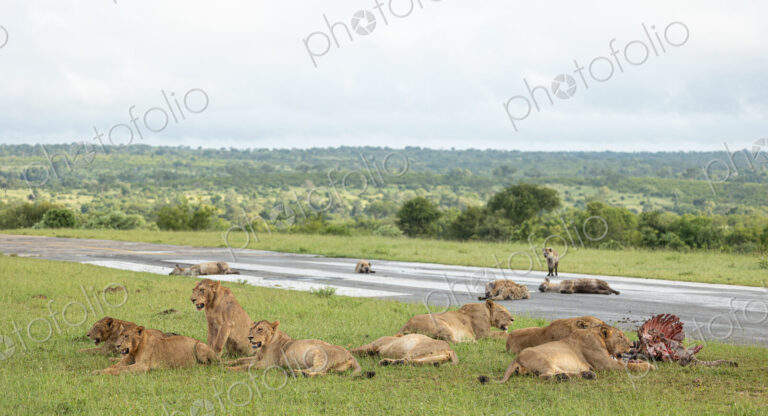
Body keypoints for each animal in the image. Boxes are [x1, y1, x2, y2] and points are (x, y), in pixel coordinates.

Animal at [227, 320, 372, 377]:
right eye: (251, 329)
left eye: (260, 329)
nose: (249, 337)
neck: (263, 346)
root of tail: (350, 355)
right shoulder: (256, 358)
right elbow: (240, 360)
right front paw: (225, 363)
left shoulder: (268, 364)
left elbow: (246, 366)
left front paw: (228, 369)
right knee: (325, 373)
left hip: (320, 355)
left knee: (318, 371)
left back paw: (295, 372)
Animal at [492, 325, 655, 382]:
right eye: (620, 336)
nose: (632, 345)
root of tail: (516, 358)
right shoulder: (606, 365)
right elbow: (629, 366)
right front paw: (649, 366)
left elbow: (631, 363)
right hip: (545, 360)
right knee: (545, 375)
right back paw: (564, 378)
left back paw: (587, 374)